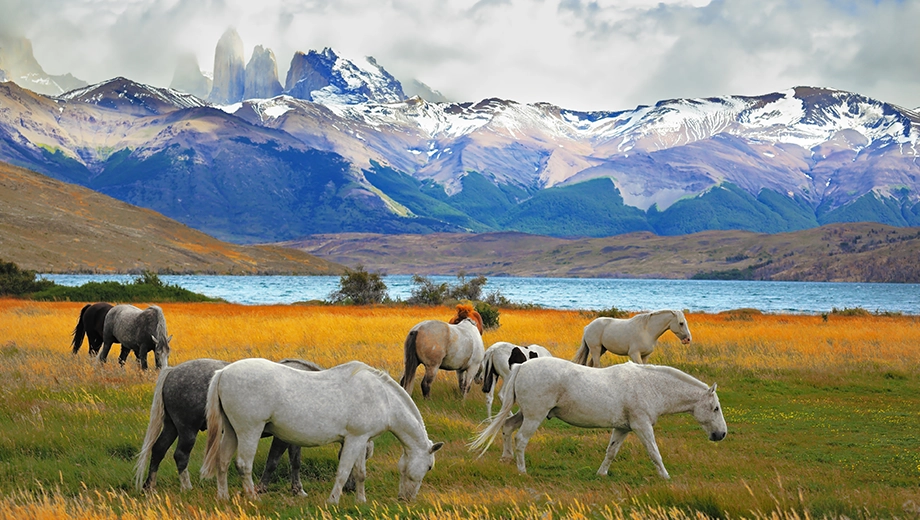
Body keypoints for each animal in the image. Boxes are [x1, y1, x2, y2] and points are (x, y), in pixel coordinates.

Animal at [135, 358, 368, 496]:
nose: (350, 488)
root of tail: (173, 371)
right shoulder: (282, 438)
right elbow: (273, 462)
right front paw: (261, 487)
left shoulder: (296, 436)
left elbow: (295, 462)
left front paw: (297, 490)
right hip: (187, 430)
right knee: (180, 455)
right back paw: (187, 487)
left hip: (172, 426)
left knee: (158, 450)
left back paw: (149, 486)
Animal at [202, 358, 446, 504]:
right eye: (429, 467)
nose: (406, 499)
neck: (382, 397)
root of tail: (223, 372)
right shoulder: (354, 440)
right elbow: (343, 472)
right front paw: (333, 501)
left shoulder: (361, 439)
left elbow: (360, 473)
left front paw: (361, 501)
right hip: (249, 431)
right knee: (243, 465)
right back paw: (254, 497)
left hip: (232, 432)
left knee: (222, 461)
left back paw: (223, 497)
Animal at [474, 358, 724, 480]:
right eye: (715, 408)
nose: (721, 434)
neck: (649, 385)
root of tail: (522, 366)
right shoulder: (642, 426)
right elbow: (654, 453)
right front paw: (665, 476)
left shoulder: (623, 429)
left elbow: (611, 452)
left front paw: (601, 474)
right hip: (535, 416)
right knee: (521, 440)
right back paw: (522, 470)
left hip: (526, 414)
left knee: (507, 428)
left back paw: (505, 458)